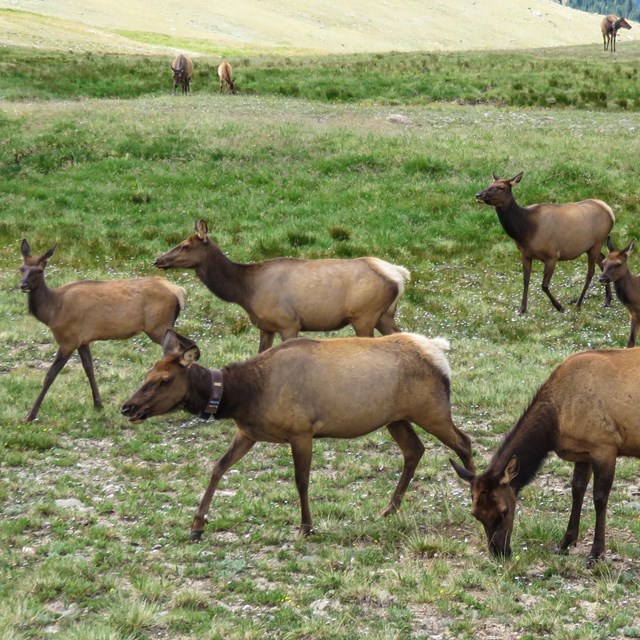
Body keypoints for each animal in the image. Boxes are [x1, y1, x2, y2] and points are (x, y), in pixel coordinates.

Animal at [19, 240, 185, 422]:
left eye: (39, 270)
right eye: (21, 268)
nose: (23, 285)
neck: (52, 312)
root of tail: (179, 291)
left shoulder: (68, 339)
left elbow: (50, 374)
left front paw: (30, 415)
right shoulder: (82, 340)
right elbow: (89, 369)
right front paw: (98, 404)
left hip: (159, 326)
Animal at [121, 329, 475, 541]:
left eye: (165, 380)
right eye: (147, 373)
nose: (127, 407)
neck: (245, 397)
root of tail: (439, 352)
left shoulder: (301, 430)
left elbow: (301, 480)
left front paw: (306, 525)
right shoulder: (248, 432)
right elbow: (218, 467)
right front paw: (196, 526)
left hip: (431, 409)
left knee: (464, 442)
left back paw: (474, 497)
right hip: (395, 417)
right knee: (414, 450)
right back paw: (390, 508)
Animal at [154, 219, 411, 353]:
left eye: (186, 246)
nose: (158, 260)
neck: (245, 291)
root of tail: (398, 275)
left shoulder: (289, 323)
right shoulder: (265, 326)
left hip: (364, 315)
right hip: (384, 315)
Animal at [452, 347, 640, 564]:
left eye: (504, 511)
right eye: (475, 514)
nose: (499, 552)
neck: (555, 425)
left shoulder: (604, 446)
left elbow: (600, 498)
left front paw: (596, 553)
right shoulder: (583, 452)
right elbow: (577, 490)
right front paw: (565, 543)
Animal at [476, 172, 615, 314]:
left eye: (501, 188)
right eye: (489, 184)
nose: (478, 195)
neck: (525, 232)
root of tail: (609, 211)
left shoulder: (552, 255)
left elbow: (544, 285)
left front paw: (560, 307)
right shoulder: (525, 255)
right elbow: (526, 280)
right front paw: (522, 309)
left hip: (598, 241)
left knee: (590, 272)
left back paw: (578, 304)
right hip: (590, 246)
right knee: (602, 262)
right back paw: (607, 299)